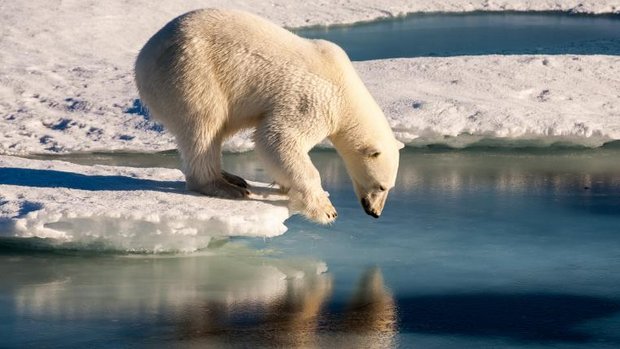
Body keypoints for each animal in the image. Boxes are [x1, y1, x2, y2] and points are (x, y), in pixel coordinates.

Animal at [135, 10, 402, 226]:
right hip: (192, 73)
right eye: (381, 186)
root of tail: (143, 58)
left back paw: (233, 178)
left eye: (389, 187)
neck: (346, 87)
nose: (375, 213)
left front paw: (284, 185)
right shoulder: (314, 100)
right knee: (204, 125)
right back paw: (224, 187)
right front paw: (326, 210)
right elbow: (277, 137)